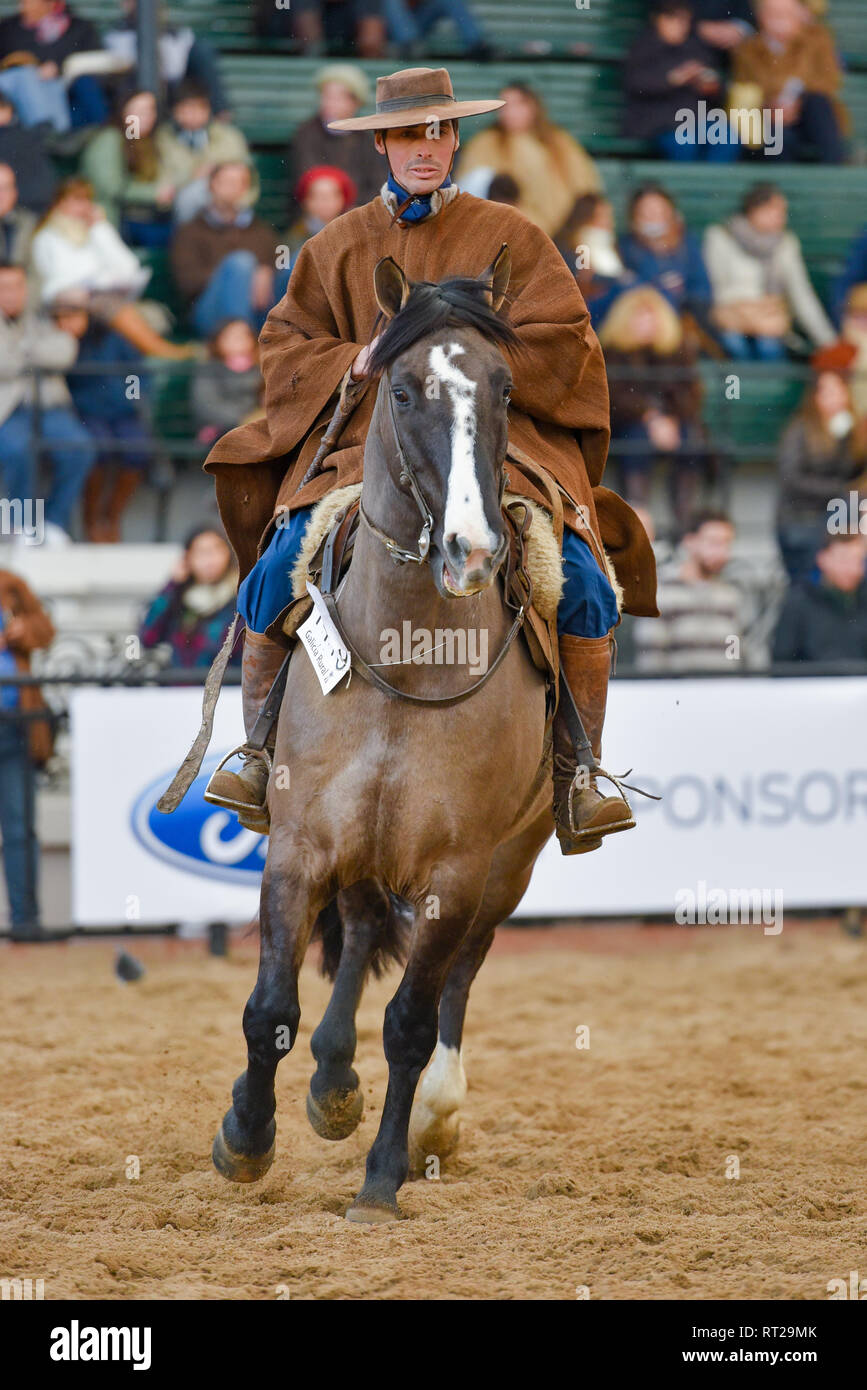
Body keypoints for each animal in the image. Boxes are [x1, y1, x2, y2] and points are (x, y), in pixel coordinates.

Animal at [213, 247, 558, 1217]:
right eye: (401, 390)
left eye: (505, 388)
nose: (472, 551)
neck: (406, 658)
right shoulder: (298, 842)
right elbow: (270, 1008)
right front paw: (246, 1136)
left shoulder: (458, 869)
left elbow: (410, 1018)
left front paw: (382, 1175)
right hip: (363, 844)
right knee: (364, 929)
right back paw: (331, 1083)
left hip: (505, 866)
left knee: (456, 978)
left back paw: (432, 1113)